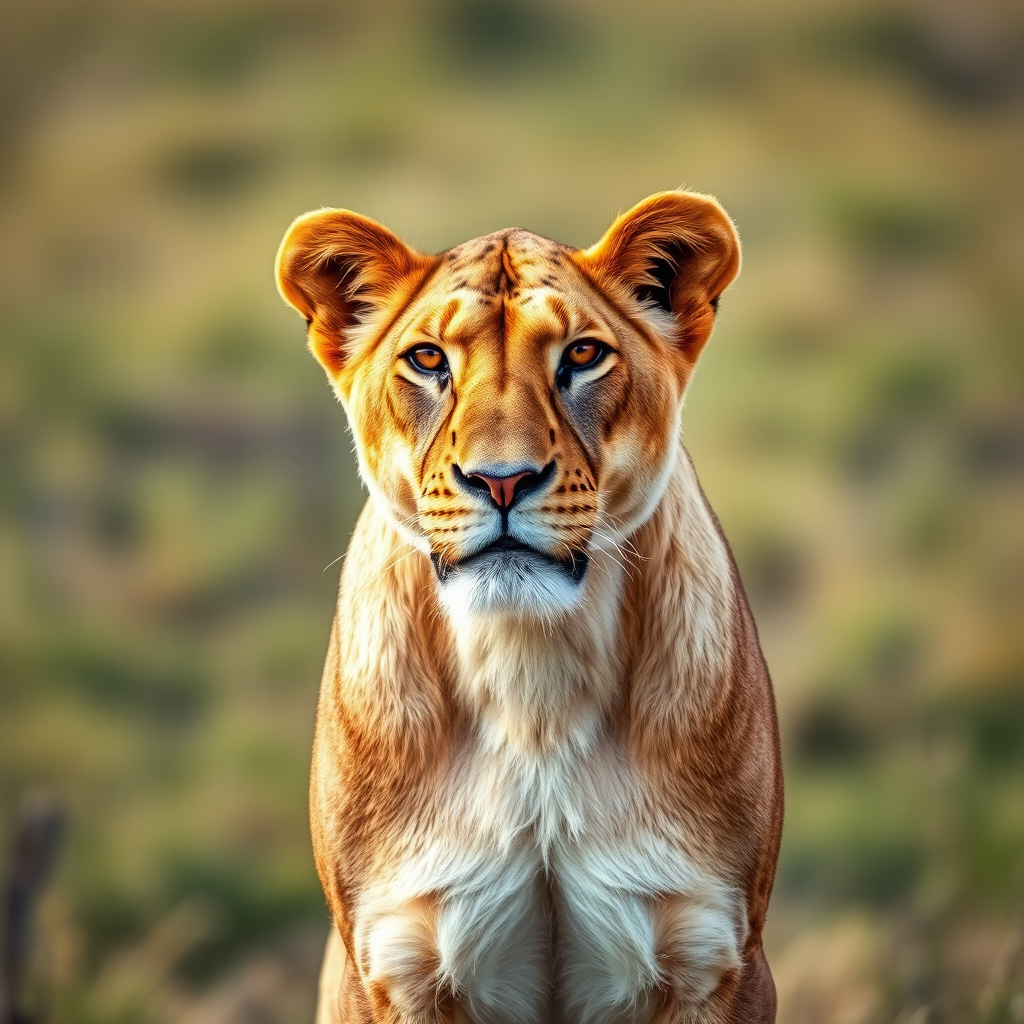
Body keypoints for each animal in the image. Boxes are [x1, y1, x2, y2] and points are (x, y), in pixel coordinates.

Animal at [275, 190, 783, 1024]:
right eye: (428, 360)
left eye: (582, 355)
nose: (503, 479)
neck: (530, 676)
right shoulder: (389, 960)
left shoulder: (717, 954)